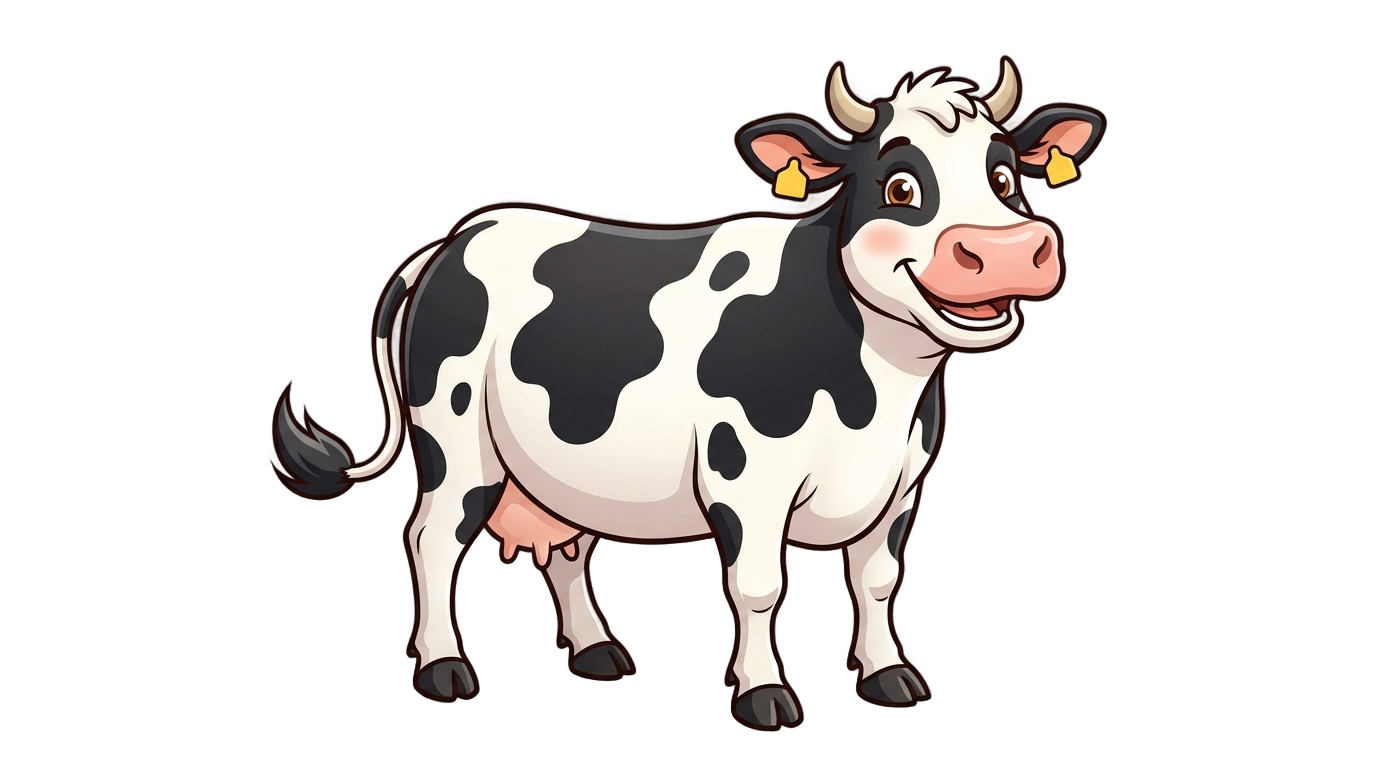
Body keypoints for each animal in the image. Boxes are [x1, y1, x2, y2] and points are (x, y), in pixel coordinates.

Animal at [271, 58, 1104, 730]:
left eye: (1006, 178)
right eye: (899, 185)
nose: (1007, 251)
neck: (874, 395)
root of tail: (463, 232)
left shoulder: (903, 481)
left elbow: (878, 581)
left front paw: (889, 676)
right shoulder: (747, 479)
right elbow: (760, 587)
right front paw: (763, 695)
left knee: (566, 545)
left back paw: (597, 651)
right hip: (455, 440)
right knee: (431, 539)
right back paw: (444, 669)